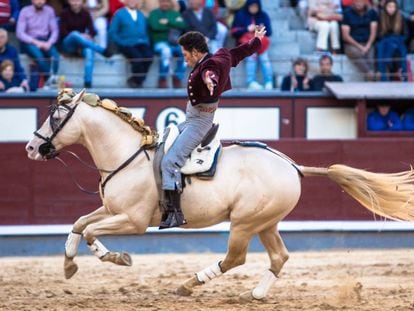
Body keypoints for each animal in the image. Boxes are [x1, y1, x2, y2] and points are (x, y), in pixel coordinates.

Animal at [25, 89, 414, 302]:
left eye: (56, 117)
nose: (30, 147)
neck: (128, 154)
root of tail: (292, 165)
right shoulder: (109, 208)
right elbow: (79, 224)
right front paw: (69, 265)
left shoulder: (132, 221)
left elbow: (91, 232)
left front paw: (118, 258)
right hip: (266, 223)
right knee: (279, 257)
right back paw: (254, 294)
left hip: (244, 222)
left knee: (236, 258)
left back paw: (188, 284)